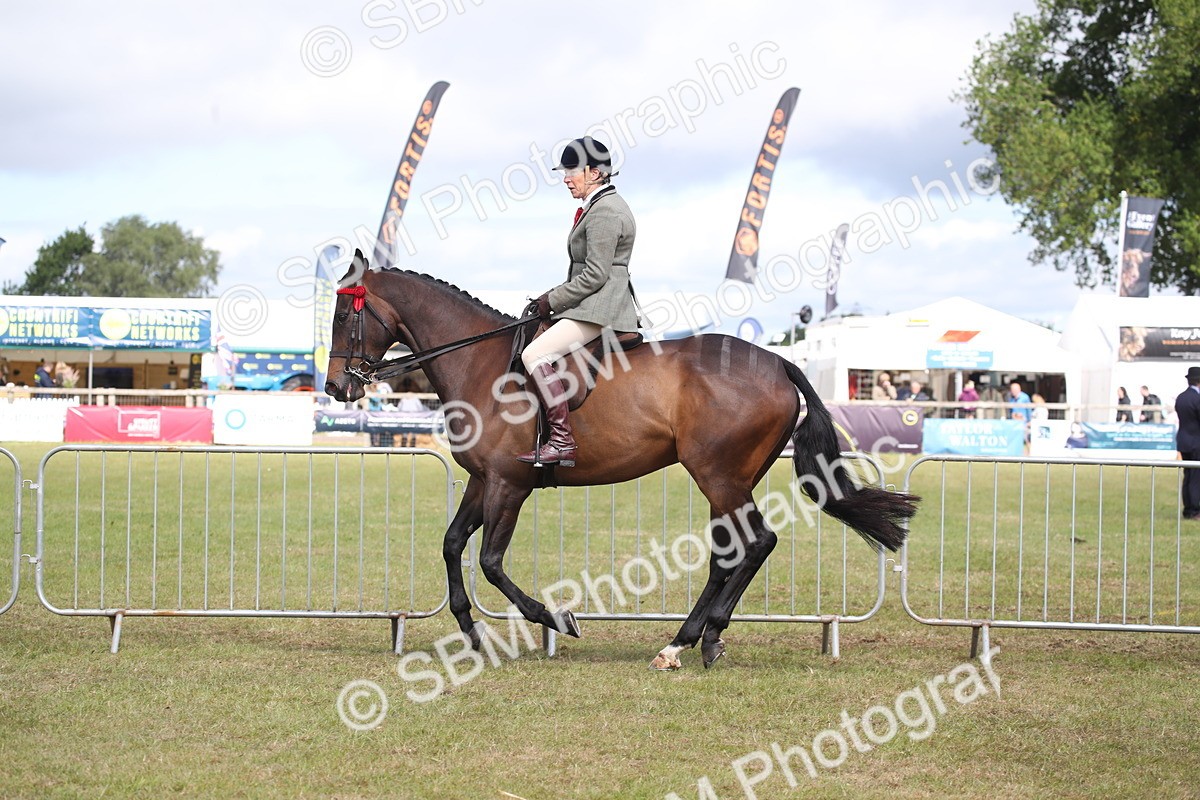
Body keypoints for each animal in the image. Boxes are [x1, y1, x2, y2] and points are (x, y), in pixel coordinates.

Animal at [324, 250, 920, 669]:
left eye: (343, 315)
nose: (335, 388)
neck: (482, 364)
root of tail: (778, 361)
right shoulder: (481, 480)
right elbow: (452, 546)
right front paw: (473, 633)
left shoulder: (509, 484)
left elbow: (491, 562)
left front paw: (556, 619)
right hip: (727, 480)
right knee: (728, 554)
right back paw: (689, 641)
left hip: (719, 476)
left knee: (756, 544)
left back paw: (696, 640)